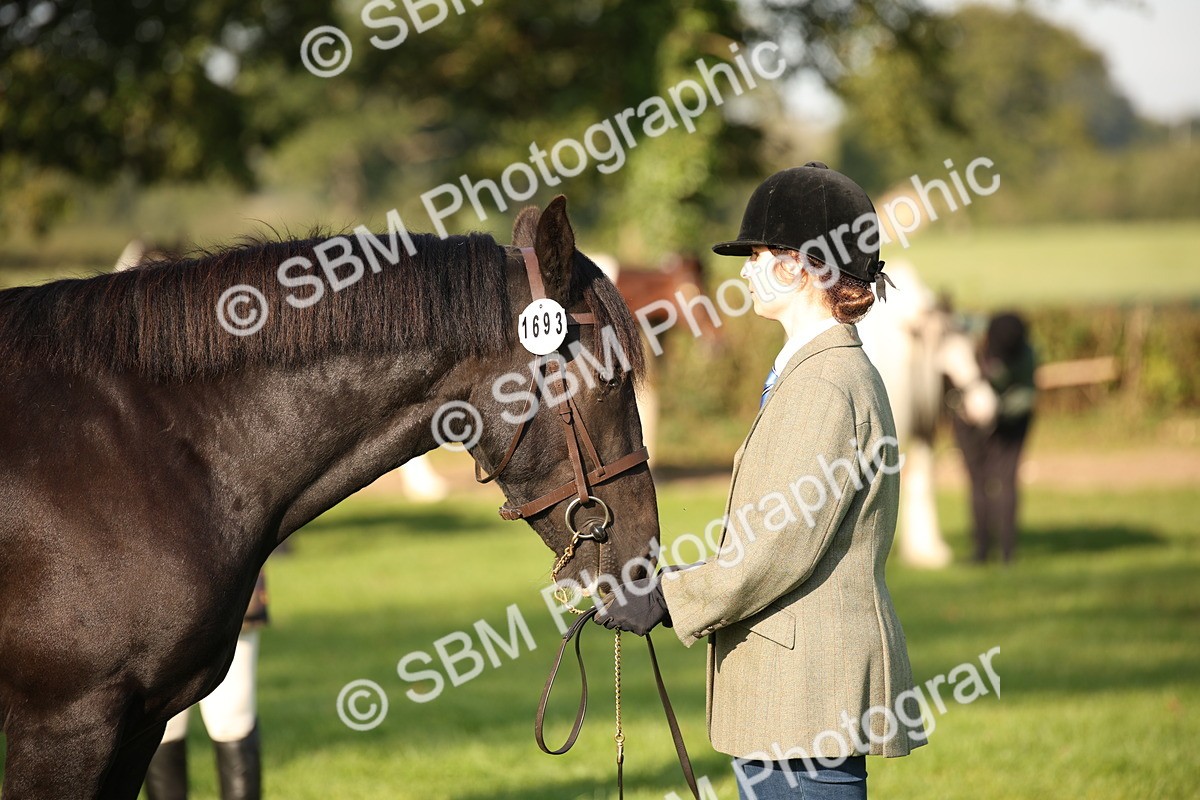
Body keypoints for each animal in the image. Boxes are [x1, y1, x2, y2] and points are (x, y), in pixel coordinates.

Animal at [857, 260, 996, 568]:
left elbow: (923, 480)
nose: (985, 406)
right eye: (944, 365)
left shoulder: (925, 428)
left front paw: (926, 550)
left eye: (972, 351)